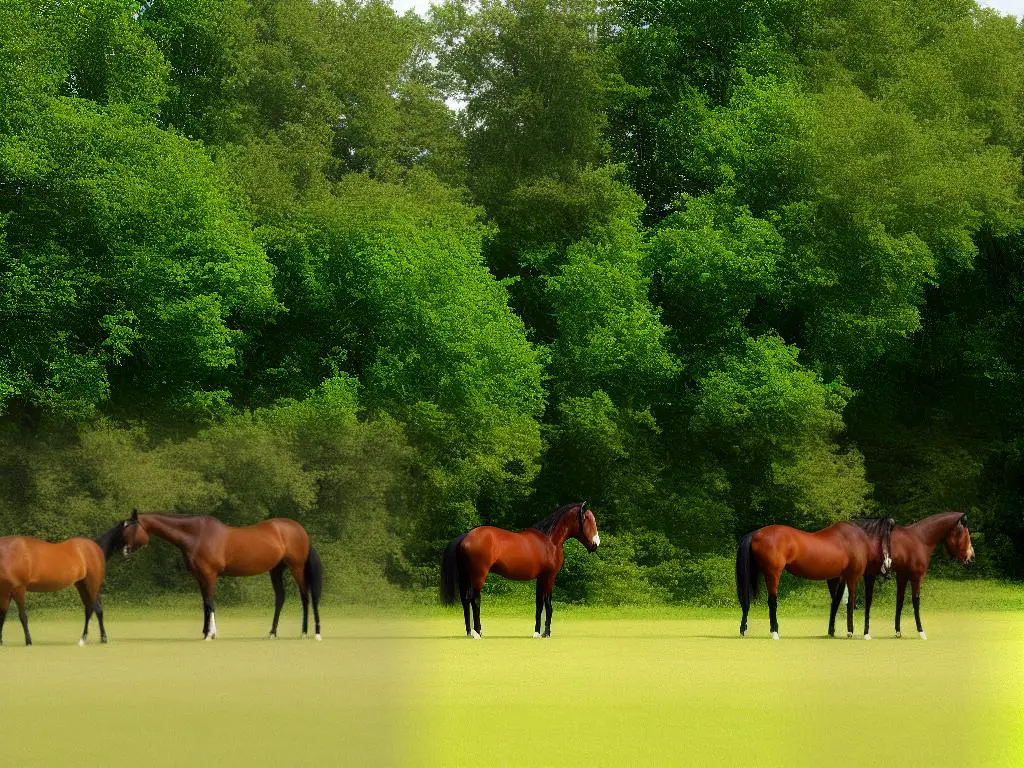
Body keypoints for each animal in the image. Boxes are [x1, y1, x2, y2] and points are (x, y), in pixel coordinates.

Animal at [118, 512, 323, 643]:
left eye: (131, 529)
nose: (125, 551)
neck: (197, 535)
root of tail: (301, 531)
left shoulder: (210, 575)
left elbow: (210, 603)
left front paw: (210, 634)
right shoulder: (200, 577)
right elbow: (205, 604)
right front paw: (205, 632)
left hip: (297, 568)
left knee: (306, 597)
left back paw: (309, 633)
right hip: (276, 570)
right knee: (280, 597)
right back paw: (272, 633)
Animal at [440, 501, 598, 638]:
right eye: (588, 519)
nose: (596, 544)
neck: (549, 541)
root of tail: (465, 537)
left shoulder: (541, 578)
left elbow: (539, 604)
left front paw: (537, 633)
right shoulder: (549, 577)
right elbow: (548, 604)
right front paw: (546, 633)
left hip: (465, 576)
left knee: (465, 600)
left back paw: (469, 632)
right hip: (478, 575)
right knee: (475, 599)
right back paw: (477, 633)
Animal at [737, 520, 897, 638]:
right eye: (888, 539)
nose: (888, 567)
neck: (855, 539)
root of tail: (756, 533)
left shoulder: (839, 578)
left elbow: (835, 603)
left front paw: (831, 632)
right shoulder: (853, 577)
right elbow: (850, 602)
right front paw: (850, 631)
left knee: (747, 600)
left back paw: (743, 629)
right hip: (773, 573)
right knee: (772, 601)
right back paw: (775, 632)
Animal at [831, 512, 974, 643]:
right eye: (965, 532)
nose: (971, 555)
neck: (921, 539)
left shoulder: (902, 576)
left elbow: (899, 601)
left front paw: (898, 631)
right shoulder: (916, 577)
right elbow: (915, 602)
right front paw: (921, 632)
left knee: (836, 601)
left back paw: (832, 631)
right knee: (849, 601)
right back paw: (850, 632)